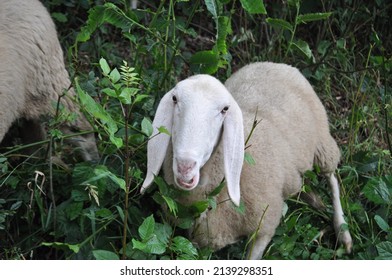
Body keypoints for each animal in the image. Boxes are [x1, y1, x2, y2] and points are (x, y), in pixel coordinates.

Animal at [142, 62, 352, 260]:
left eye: (224, 109)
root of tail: (275, 64)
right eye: (174, 99)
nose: (185, 167)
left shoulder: (265, 225)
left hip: (322, 144)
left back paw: (343, 231)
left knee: (332, 177)